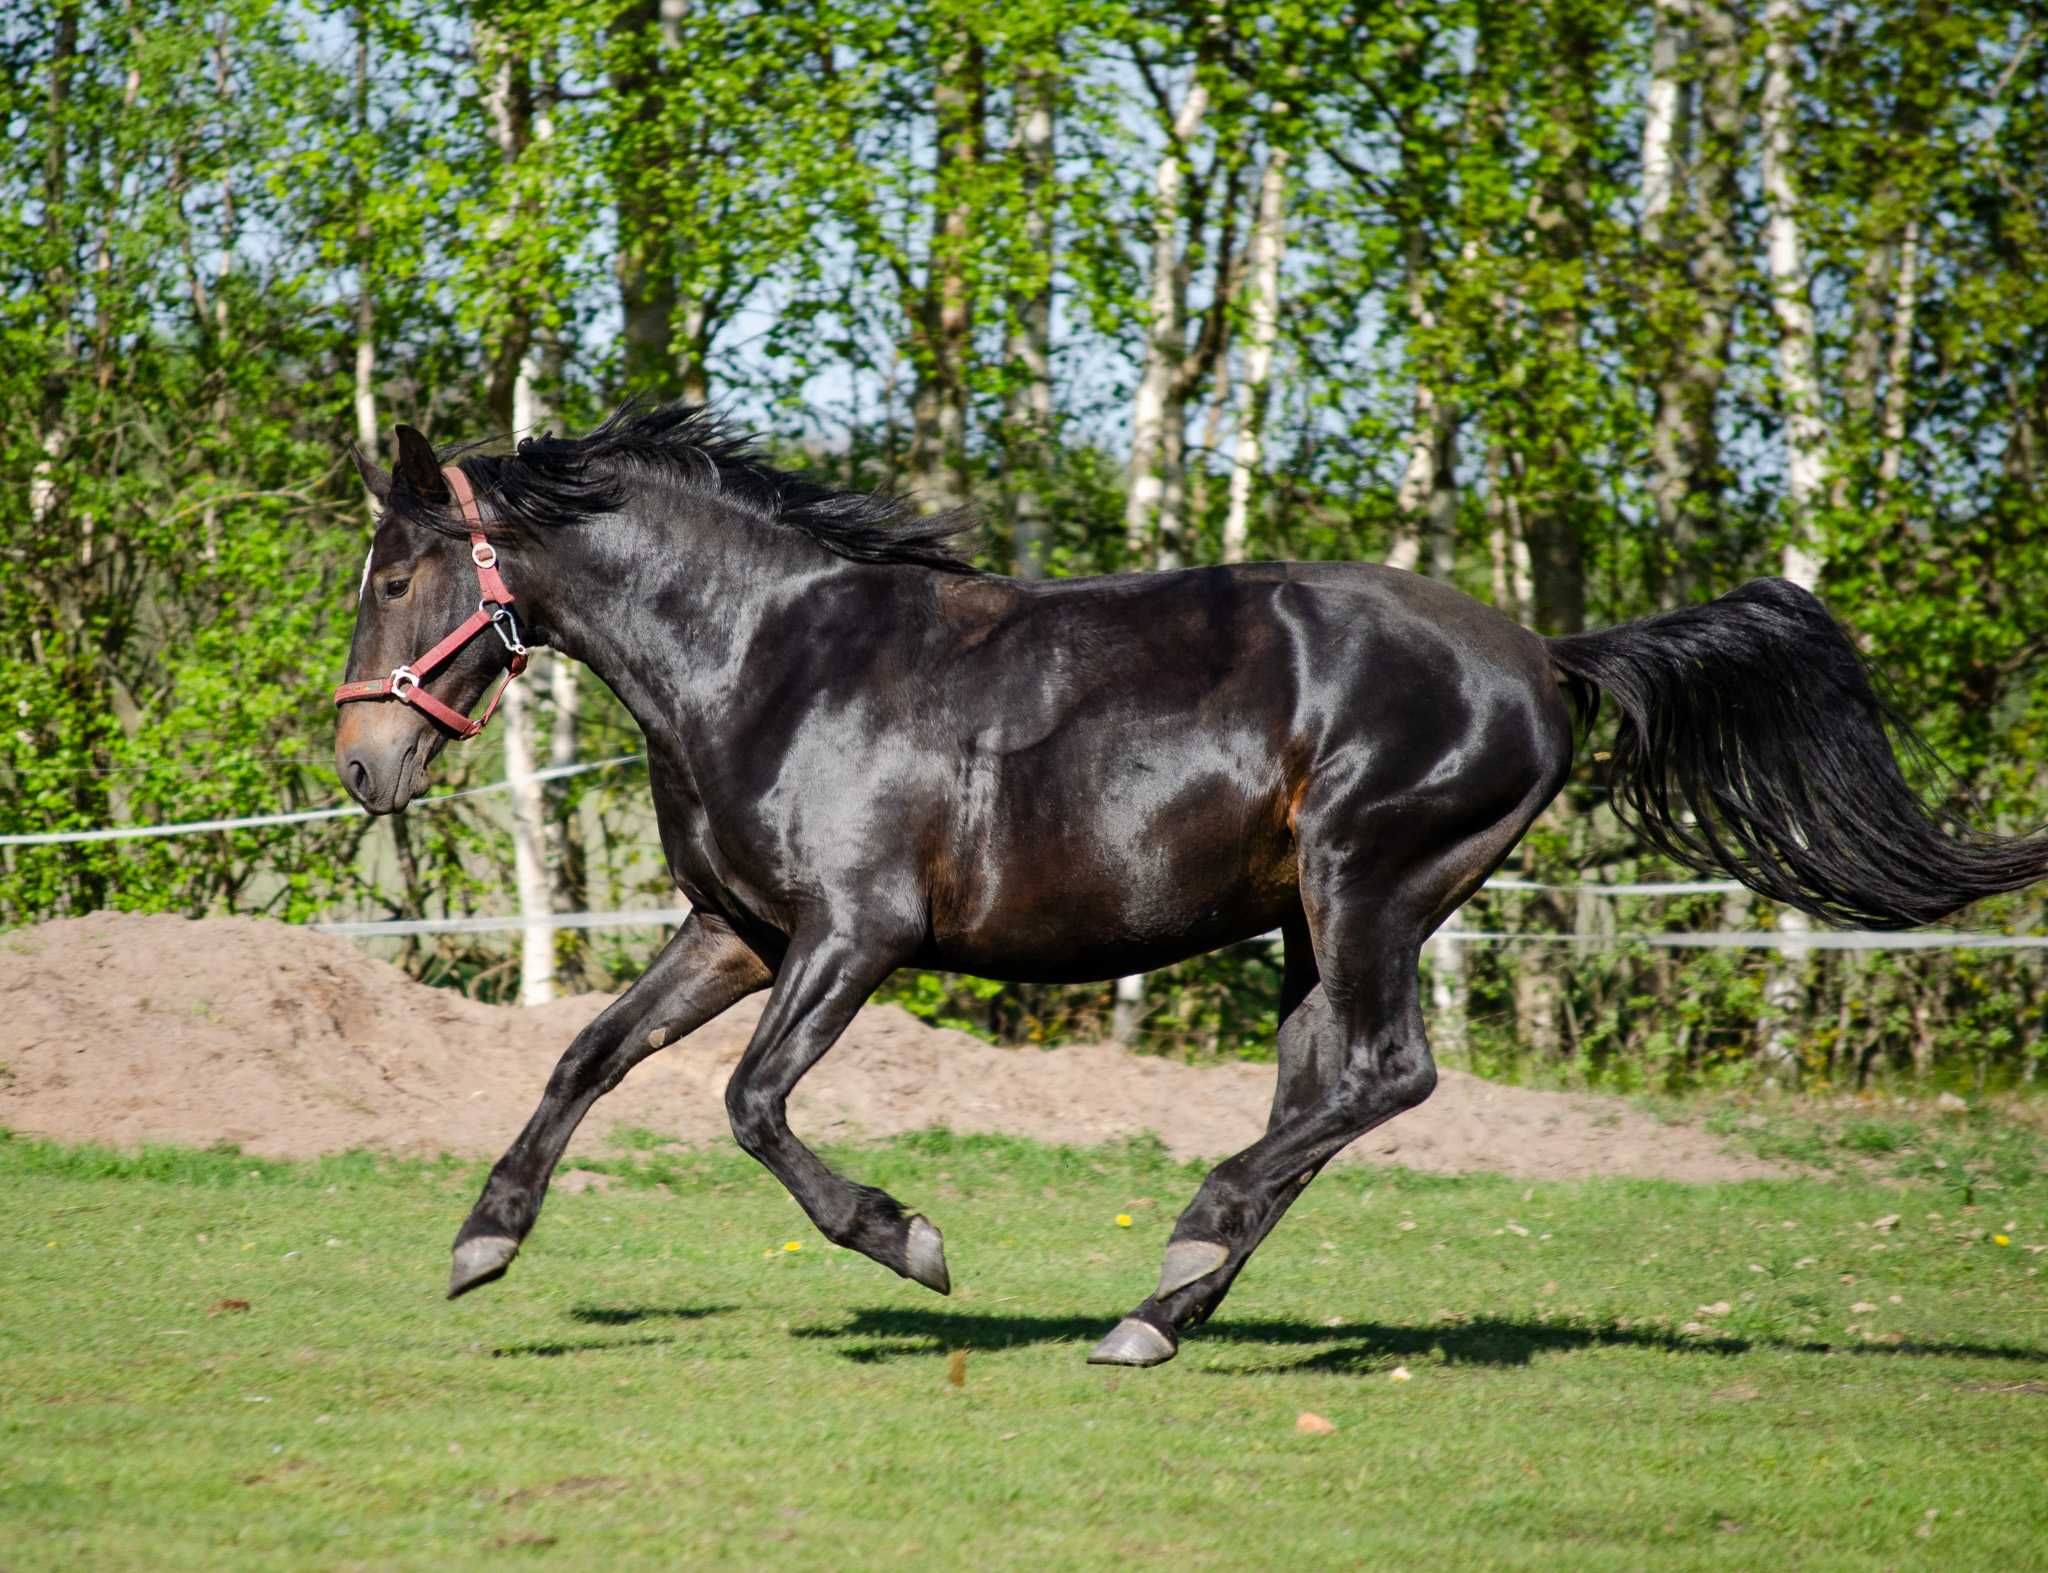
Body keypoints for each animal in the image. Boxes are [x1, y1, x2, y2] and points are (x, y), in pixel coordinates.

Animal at [327, 401, 2039, 1359]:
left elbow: (751, 1105)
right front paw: (484, 1242)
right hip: (1311, 924)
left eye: (398, 575)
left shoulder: (854, 935)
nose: (359, 764)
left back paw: (1176, 1262)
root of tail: (1546, 654)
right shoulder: (736, 932)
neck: (769, 663)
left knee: (1385, 1076)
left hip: (1369, 880)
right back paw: (1170, 1300)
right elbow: (589, 1054)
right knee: (1321, 1094)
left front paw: (911, 1241)